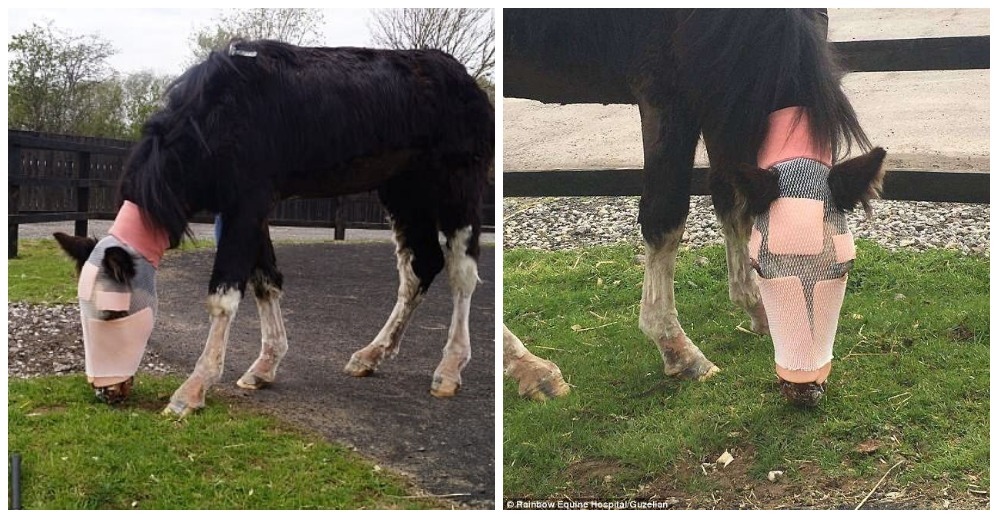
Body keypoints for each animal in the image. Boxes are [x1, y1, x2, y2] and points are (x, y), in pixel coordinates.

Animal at [56, 38, 494, 416]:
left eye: (113, 313)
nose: (105, 390)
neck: (219, 115)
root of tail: (466, 80)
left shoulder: (247, 206)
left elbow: (224, 297)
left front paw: (192, 390)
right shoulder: (247, 211)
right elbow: (265, 280)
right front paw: (264, 367)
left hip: (457, 186)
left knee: (461, 272)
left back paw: (449, 370)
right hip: (403, 190)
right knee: (420, 267)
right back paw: (371, 355)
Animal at [504, 9, 888, 406]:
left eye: (845, 269)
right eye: (764, 269)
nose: (803, 388)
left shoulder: (723, 90)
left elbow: (734, 204)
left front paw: (756, 310)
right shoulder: (666, 96)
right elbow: (666, 218)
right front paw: (677, 348)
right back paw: (534, 370)